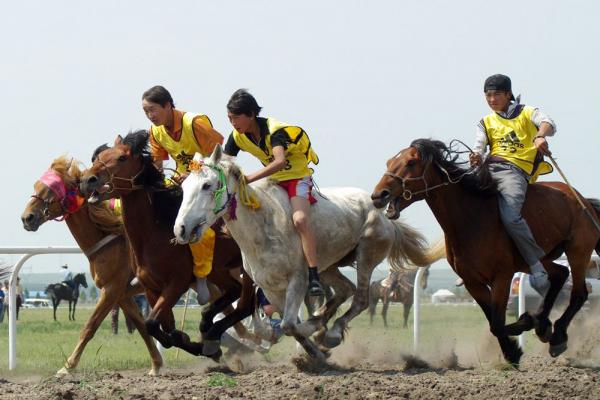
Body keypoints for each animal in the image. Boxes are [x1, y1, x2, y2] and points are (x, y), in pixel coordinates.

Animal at [20, 155, 162, 376]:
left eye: (51, 190)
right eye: (36, 186)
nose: (27, 218)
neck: (109, 240)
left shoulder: (112, 288)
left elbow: (89, 326)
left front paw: (67, 366)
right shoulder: (121, 293)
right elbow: (141, 325)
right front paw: (156, 365)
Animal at [79, 131, 255, 360]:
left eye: (122, 158)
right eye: (98, 157)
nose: (87, 180)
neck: (154, 233)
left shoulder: (176, 283)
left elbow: (152, 323)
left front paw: (200, 344)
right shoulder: (151, 288)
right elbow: (165, 329)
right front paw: (193, 342)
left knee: (245, 305)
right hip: (218, 270)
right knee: (235, 291)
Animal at [171, 147, 442, 360]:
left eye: (207, 185)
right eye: (184, 186)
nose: (181, 228)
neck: (263, 225)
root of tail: (385, 214)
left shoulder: (297, 280)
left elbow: (291, 325)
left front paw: (316, 337)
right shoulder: (269, 286)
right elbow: (278, 325)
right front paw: (314, 347)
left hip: (366, 255)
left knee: (360, 299)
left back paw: (331, 332)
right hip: (328, 266)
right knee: (345, 289)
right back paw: (322, 324)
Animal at [370, 138, 600, 366]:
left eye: (411, 162)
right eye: (389, 162)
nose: (379, 195)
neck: (472, 216)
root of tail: (583, 200)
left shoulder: (502, 277)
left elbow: (497, 323)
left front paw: (523, 328)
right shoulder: (473, 282)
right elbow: (492, 321)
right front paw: (514, 349)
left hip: (577, 251)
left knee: (579, 293)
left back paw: (557, 335)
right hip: (536, 259)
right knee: (560, 274)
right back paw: (544, 326)